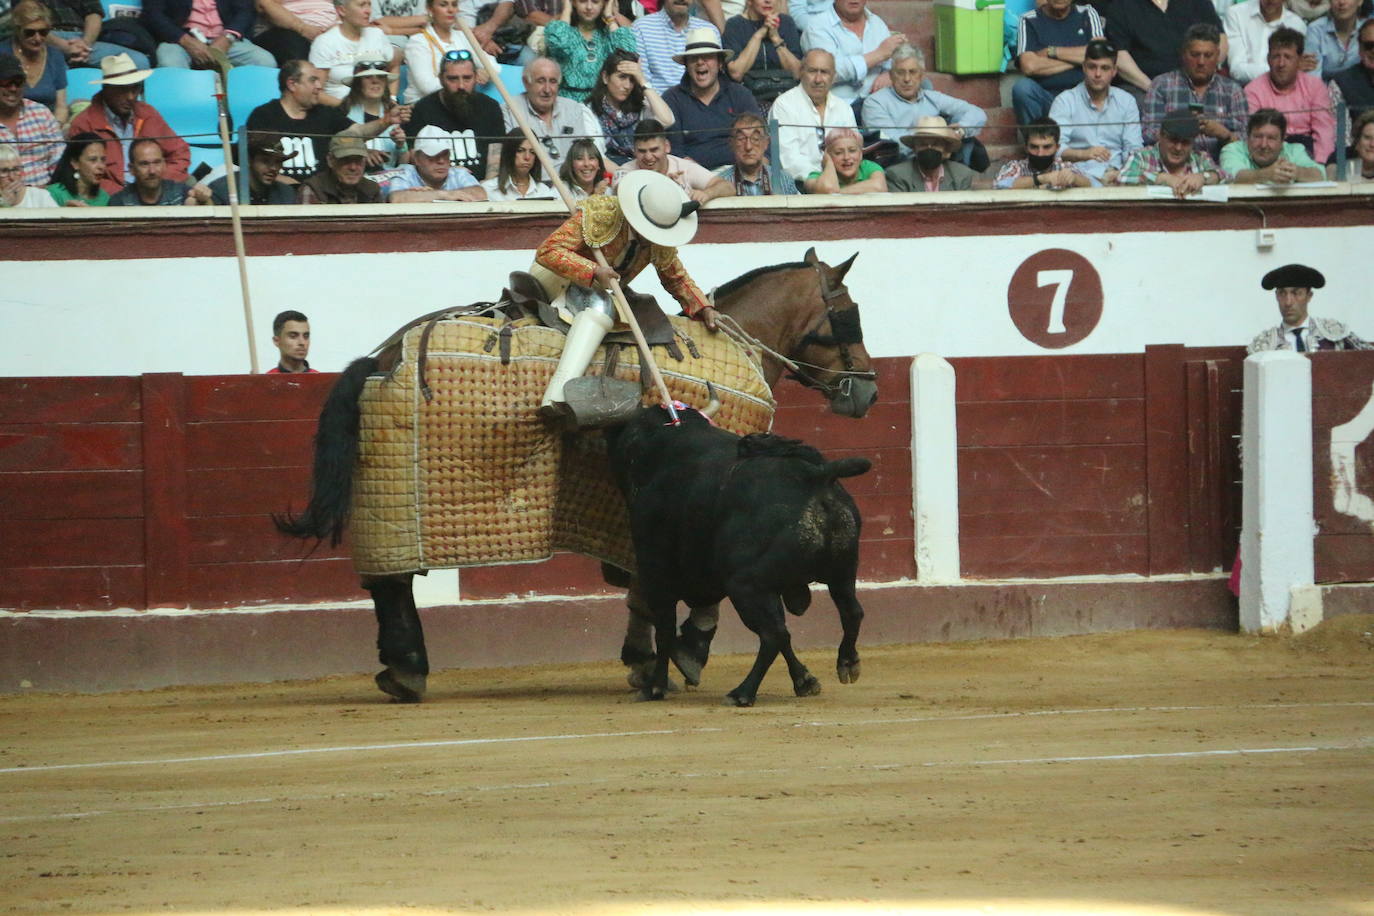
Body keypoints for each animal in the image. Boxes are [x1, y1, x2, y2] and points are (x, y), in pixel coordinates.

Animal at [610, 403, 868, 708]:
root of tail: (817, 477)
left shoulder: (656, 573)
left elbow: (664, 630)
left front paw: (655, 687)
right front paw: (804, 681)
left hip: (745, 585)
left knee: (773, 634)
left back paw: (742, 692)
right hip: (842, 571)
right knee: (849, 613)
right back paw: (847, 663)